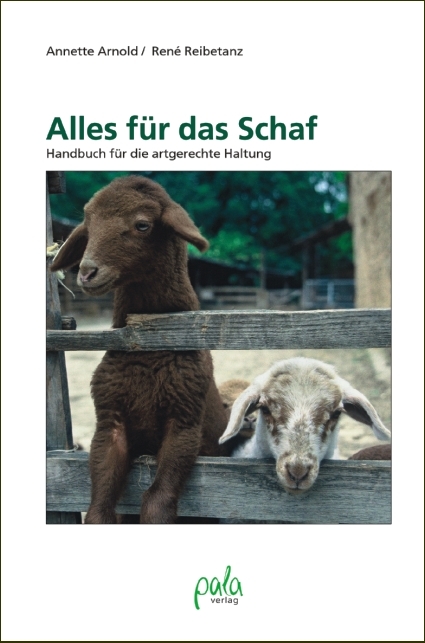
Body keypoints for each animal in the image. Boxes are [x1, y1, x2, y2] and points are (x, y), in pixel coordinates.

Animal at [50, 175, 232, 523]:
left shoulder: (184, 421)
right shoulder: (110, 422)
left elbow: (156, 502)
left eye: (143, 225)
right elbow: (99, 508)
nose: (86, 272)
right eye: (88, 227)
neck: (149, 347)